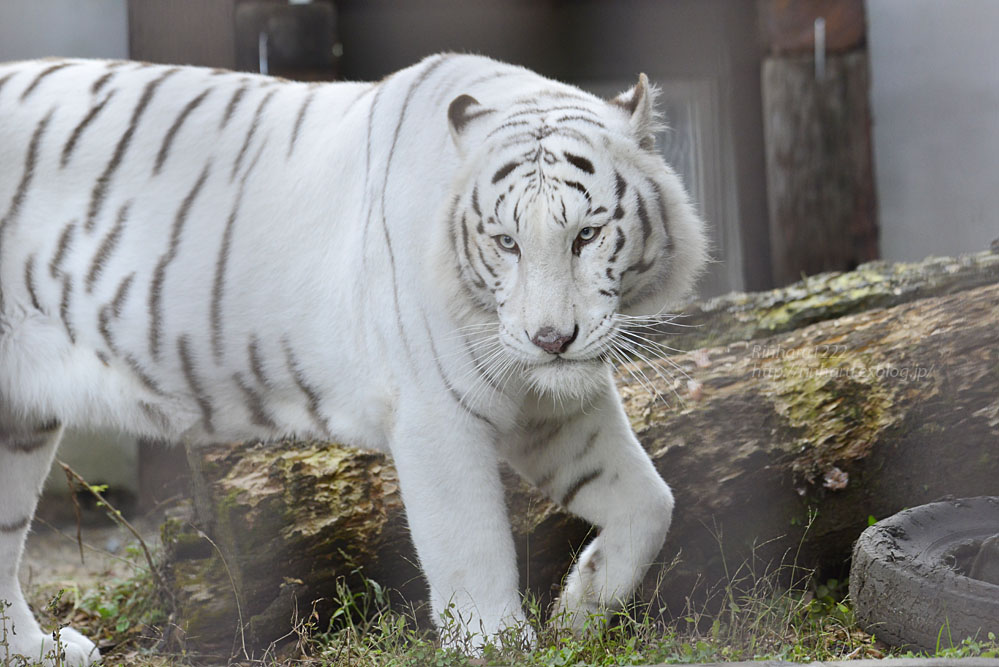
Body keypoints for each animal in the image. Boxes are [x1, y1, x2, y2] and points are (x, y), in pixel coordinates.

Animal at [0, 53, 708, 664]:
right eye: (506, 242)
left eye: (587, 234)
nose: (551, 340)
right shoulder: (437, 415)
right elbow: (472, 546)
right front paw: (496, 645)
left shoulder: (553, 409)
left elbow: (650, 502)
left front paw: (579, 609)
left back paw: (35, 650)